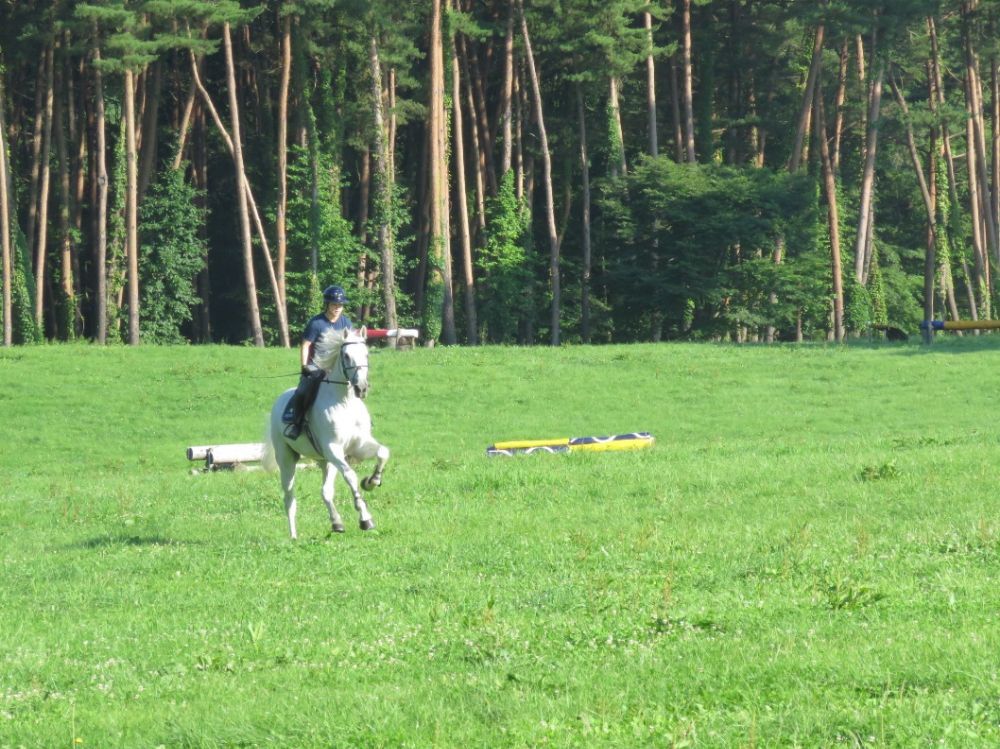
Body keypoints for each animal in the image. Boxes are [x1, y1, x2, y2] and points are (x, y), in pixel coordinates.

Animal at [262, 328, 390, 536]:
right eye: (346, 356)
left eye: (366, 354)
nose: (361, 388)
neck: (344, 403)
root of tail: (279, 402)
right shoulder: (334, 449)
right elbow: (351, 476)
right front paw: (365, 519)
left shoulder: (359, 444)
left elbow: (383, 452)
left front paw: (372, 481)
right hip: (288, 459)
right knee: (289, 497)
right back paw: (294, 536)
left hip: (325, 461)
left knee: (326, 492)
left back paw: (337, 523)